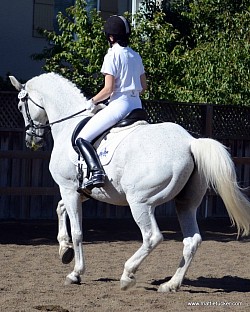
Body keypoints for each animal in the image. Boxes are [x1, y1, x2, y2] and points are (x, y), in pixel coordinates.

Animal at [9, 73, 250, 292]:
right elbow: (60, 209)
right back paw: (170, 284)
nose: (32, 141)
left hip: (140, 202)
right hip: (185, 204)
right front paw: (64, 250)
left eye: (21, 105)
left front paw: (75, 272)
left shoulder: (68, 188)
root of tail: (190, 142)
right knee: (192, 241)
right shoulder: (83, 191)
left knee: (152, 237)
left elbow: (77, 232)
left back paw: (127, 275)